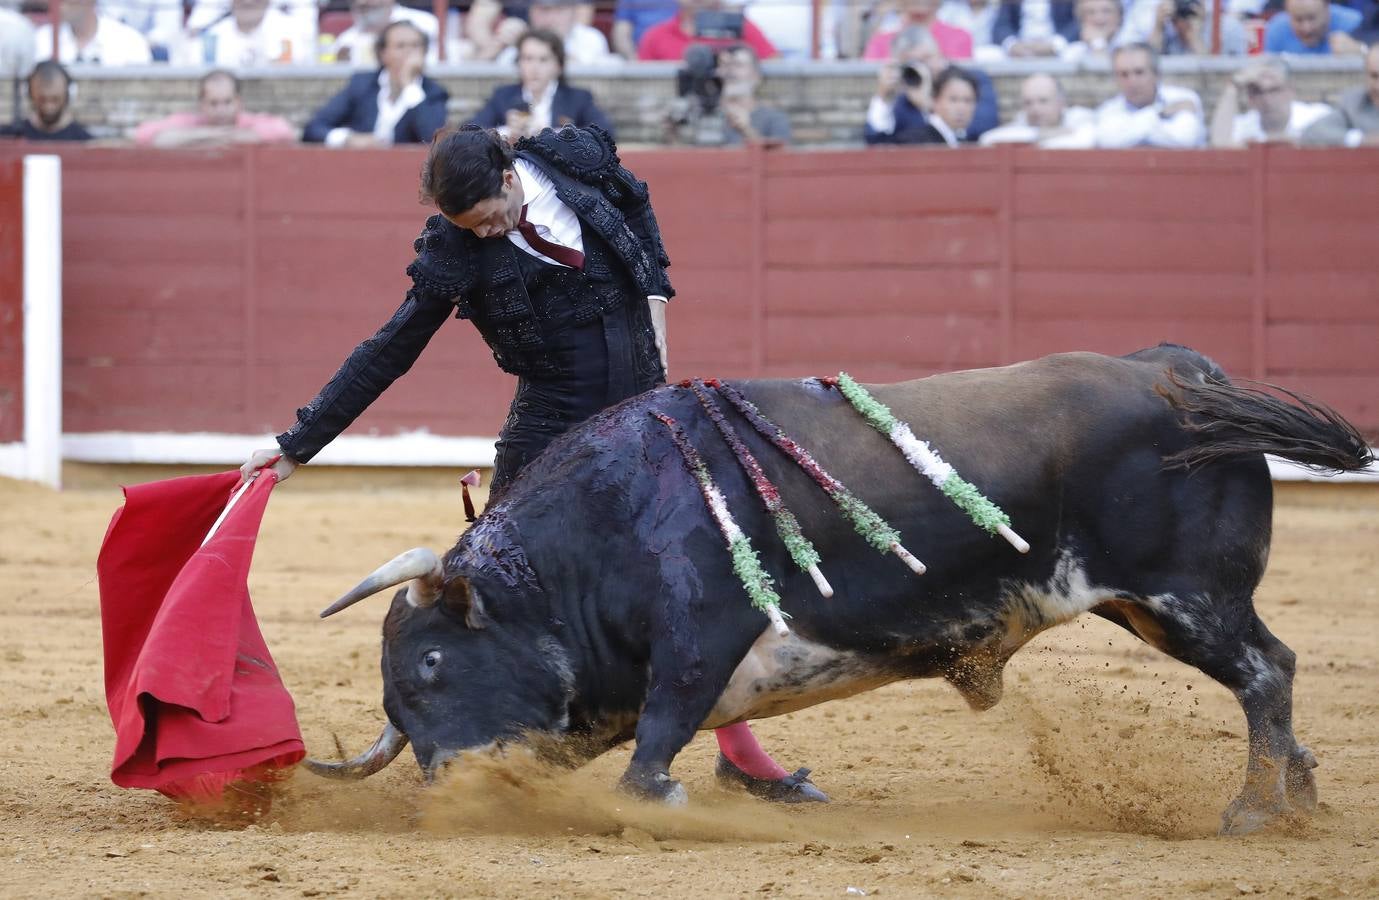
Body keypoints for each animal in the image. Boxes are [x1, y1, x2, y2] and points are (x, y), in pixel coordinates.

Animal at [307, 345, 1373, 837]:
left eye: (433, 662)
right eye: (398, 698)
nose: (452, 788)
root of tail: (1174, 371)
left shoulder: (701, 633)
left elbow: (654, 748)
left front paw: (668, 804)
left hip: (1187, 598)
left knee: (1266, 671)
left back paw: (1252, 810)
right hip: (1150, 607)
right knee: (1266, 677)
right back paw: (1298, 799)